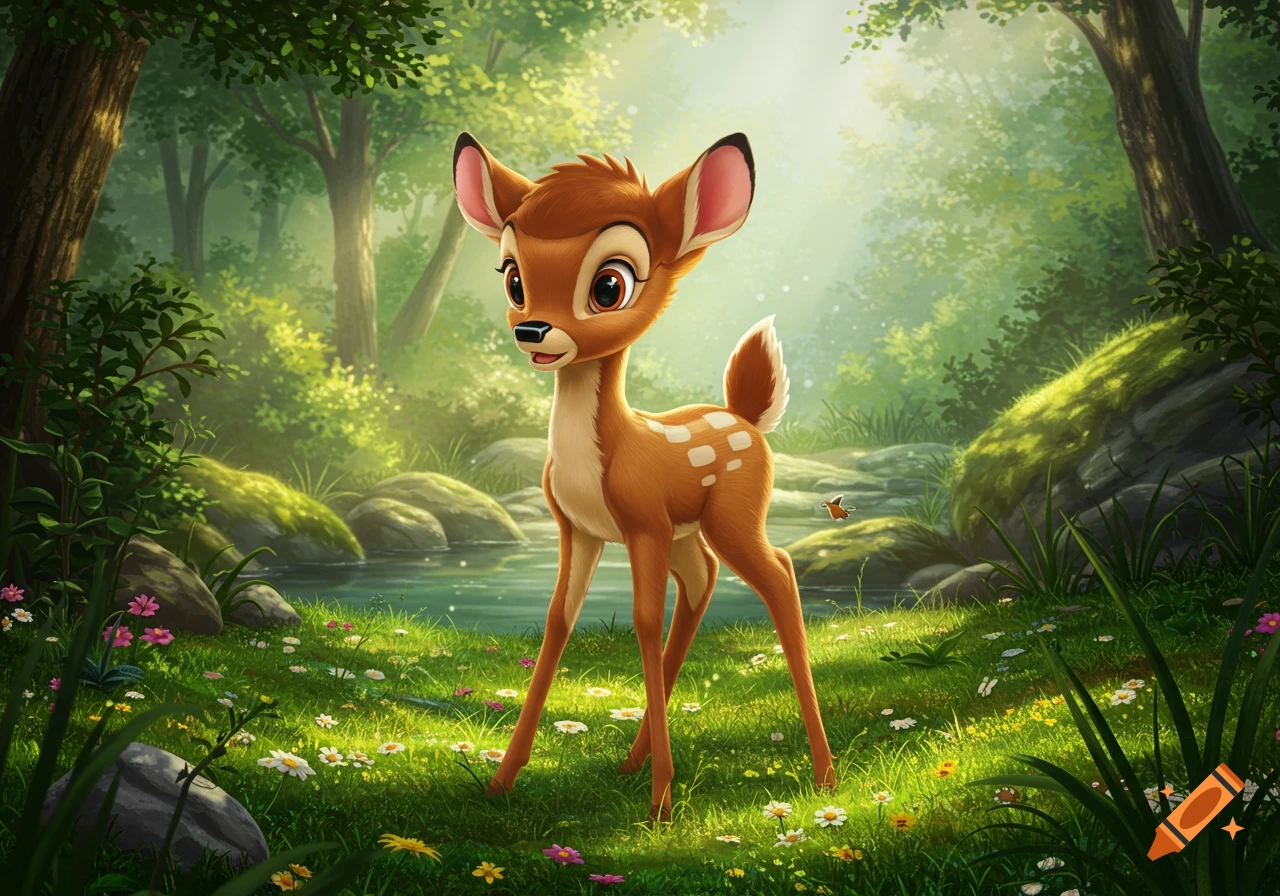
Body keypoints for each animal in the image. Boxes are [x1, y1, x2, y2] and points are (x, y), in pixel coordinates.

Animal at [451, 130, 836, 821]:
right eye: (513, 277)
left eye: (610, 285)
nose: (532, 330)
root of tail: (746, 416)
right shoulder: (580, 529)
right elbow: (559, 620)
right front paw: (501, 780)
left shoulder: (643, 524)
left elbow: (642, 621)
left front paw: (660, 806)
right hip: (688, 534)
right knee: (703, 581)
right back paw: (633, 763)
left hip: (731, 517)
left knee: (780, 574)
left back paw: (822, 775)